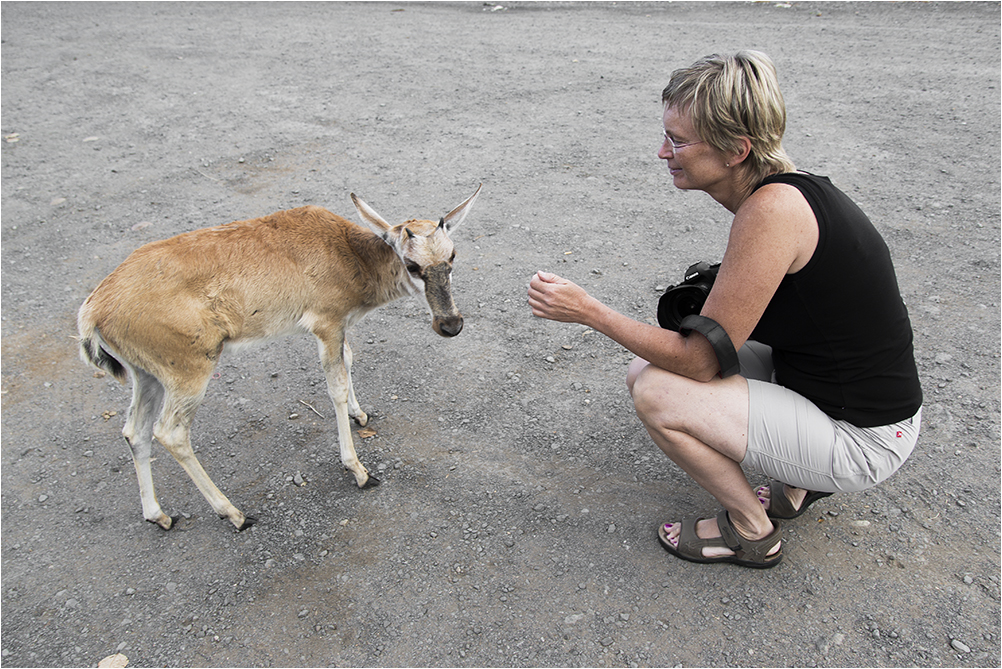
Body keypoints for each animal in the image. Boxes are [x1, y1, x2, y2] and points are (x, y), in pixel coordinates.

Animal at [78, 183, 480, 528]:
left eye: (452, 256)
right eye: (412, 265)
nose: (450, 324)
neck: (350, 254)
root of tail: (94, 310)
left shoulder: (338, 328)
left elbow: (349, 360)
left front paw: (360, 413)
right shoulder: (326, 324)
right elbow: (335, 387)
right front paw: (359, 470)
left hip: (145, 374)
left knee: (134, 431)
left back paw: (158, 514)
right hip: (189, 372)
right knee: (170, 433)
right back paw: (234, 514)